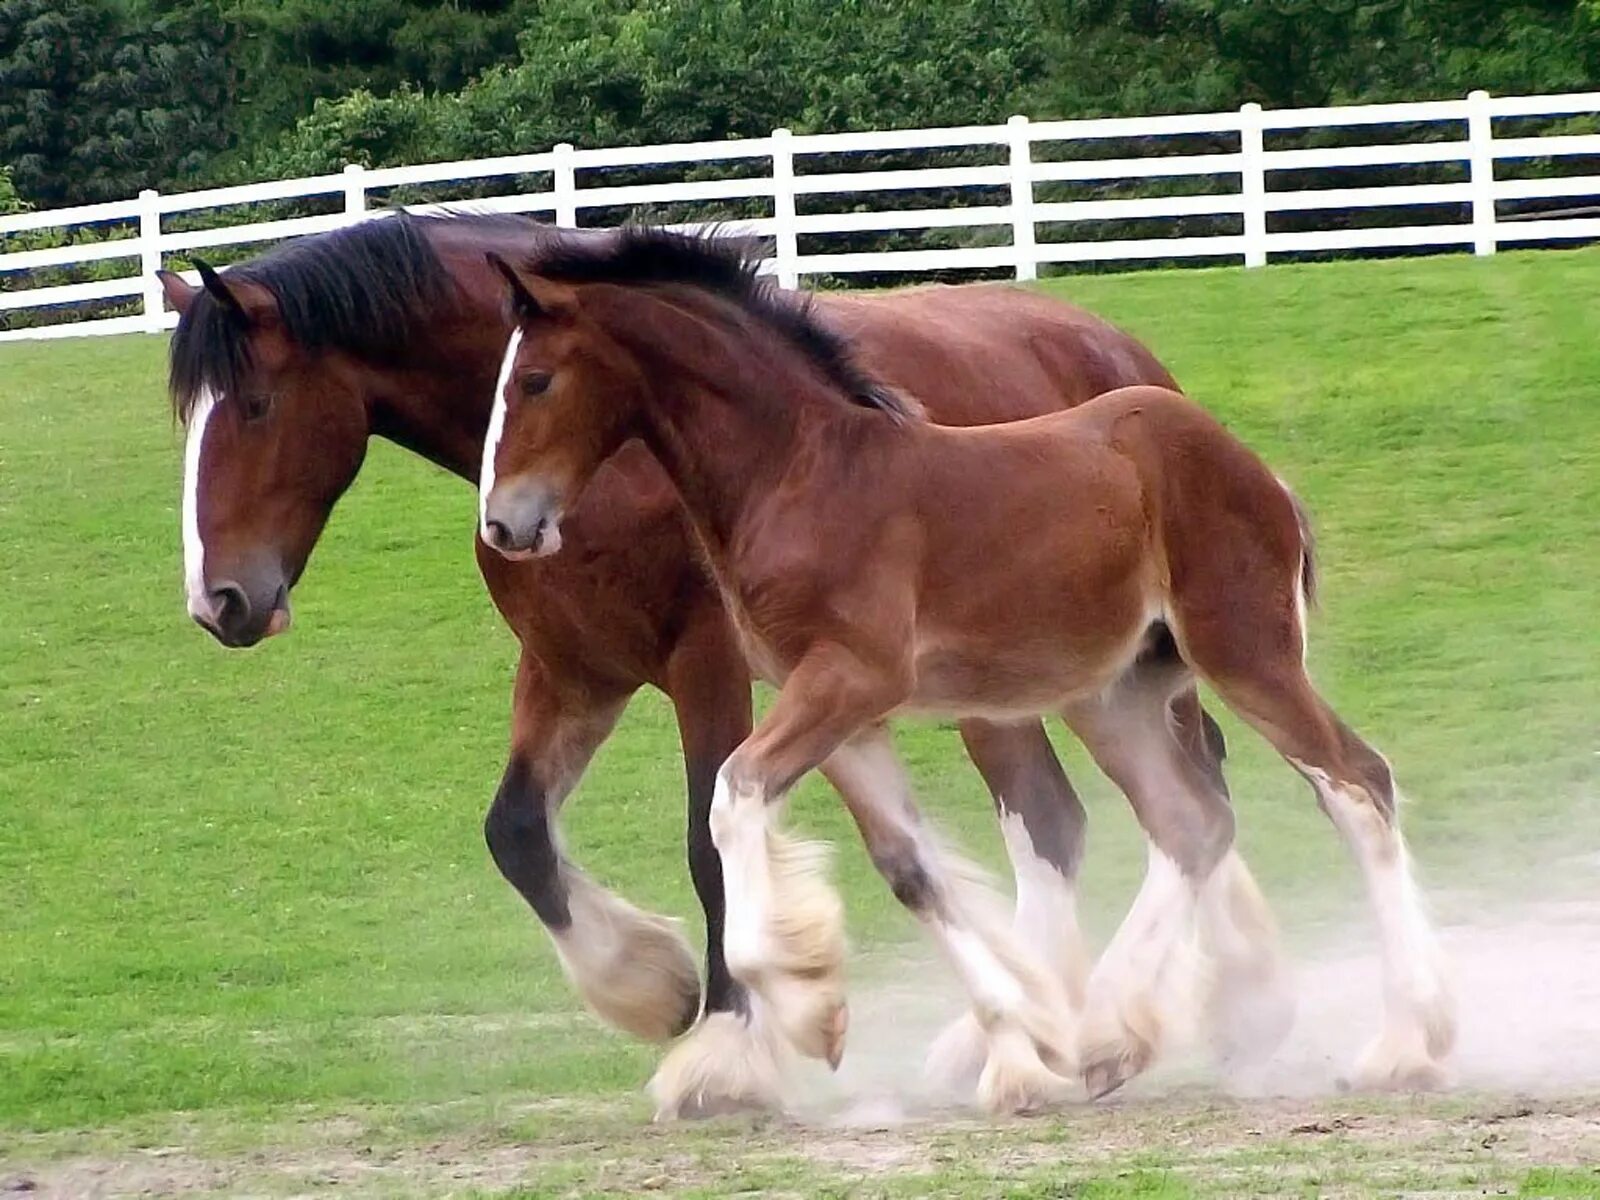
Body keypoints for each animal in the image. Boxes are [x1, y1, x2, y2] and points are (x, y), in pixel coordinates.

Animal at [165, 209, 1273, 1120]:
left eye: (255, 403)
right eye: (189, 418)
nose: (220, 601)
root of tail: (1122, 354)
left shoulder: (711, 668)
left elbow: (709, 845)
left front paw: (728, 1049)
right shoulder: (574, 672)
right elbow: (517, 833)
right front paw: (650, 985)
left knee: (1133, 802)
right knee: (1094, 811)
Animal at [480, 230, 1459, 1113]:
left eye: (536, 381)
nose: (503, 524)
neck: (800, 474)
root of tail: (1251, 466)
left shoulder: (848, 681)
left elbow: (732, 797)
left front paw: (804, 1015)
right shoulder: (844, 715)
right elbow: (911, 870)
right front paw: (1018, 1052)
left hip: (1245, 653)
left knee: (1356, 783)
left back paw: (1404, 1046)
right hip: (1117, 694)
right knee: (1194, 822)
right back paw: (1105, 1035)